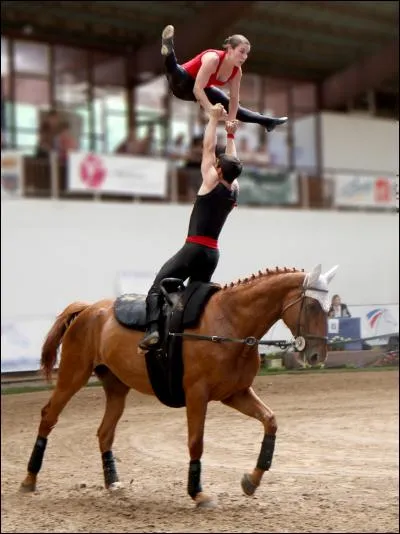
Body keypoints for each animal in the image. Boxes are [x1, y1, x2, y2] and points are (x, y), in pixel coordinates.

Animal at [19, 266, 338, 508]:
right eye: (312, 306)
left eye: (328, 308)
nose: (316, 356)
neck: (228, 322)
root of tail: (88, 309)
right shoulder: (198, 395)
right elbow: (196, 442)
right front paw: (198, 493)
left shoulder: (235, 394)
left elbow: (270, 421)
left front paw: (251, 480)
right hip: (73, 375)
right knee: (49, 416)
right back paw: (29, 480)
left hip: (116, 387)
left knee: (104, 432)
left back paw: (113, 483)